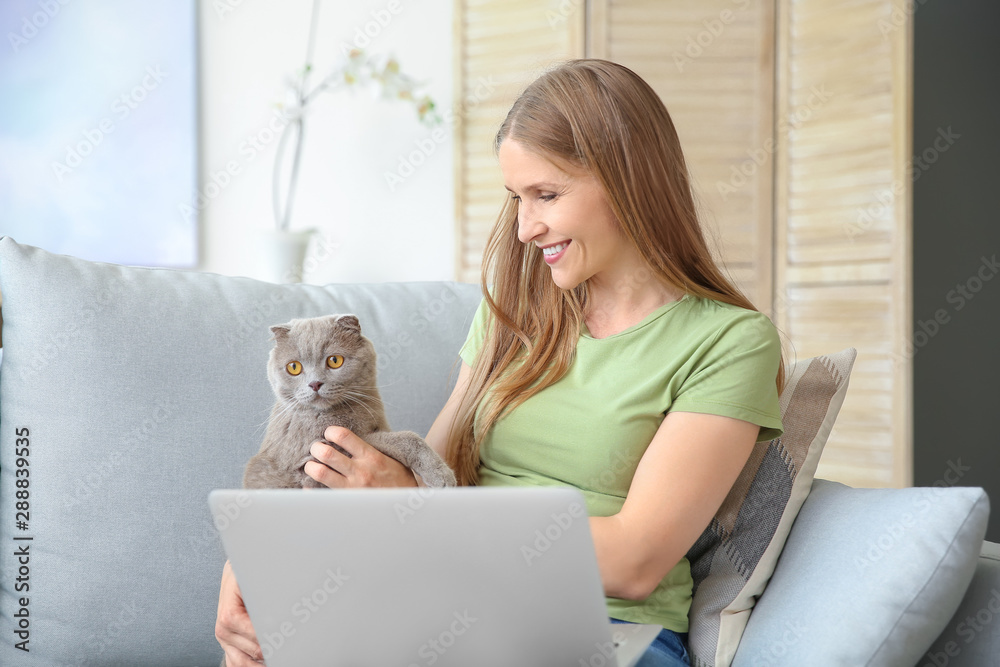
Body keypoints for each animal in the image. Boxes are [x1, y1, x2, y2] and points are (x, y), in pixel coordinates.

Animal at [242, 314, 458, 490]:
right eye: (293, 367)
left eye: (334, 360)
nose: (314, 383)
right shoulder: (318, 450)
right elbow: (406, 437)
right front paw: (442, 474)